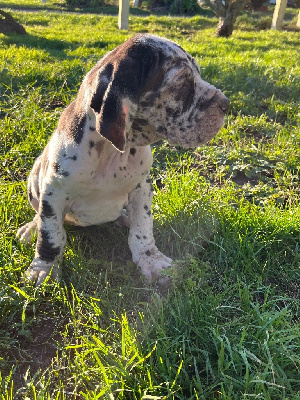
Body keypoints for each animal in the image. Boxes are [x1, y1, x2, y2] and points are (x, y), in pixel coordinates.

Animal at [16, 33, 229, 284]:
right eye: (181, 84)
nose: (226, 104)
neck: (111, 153)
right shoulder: (53, 193)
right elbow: (51, 235)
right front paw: (45, 268)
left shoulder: (142, 187)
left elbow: (142, 228)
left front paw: (151, 260)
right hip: (34, 180)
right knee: (40, 216)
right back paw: (31, 227)